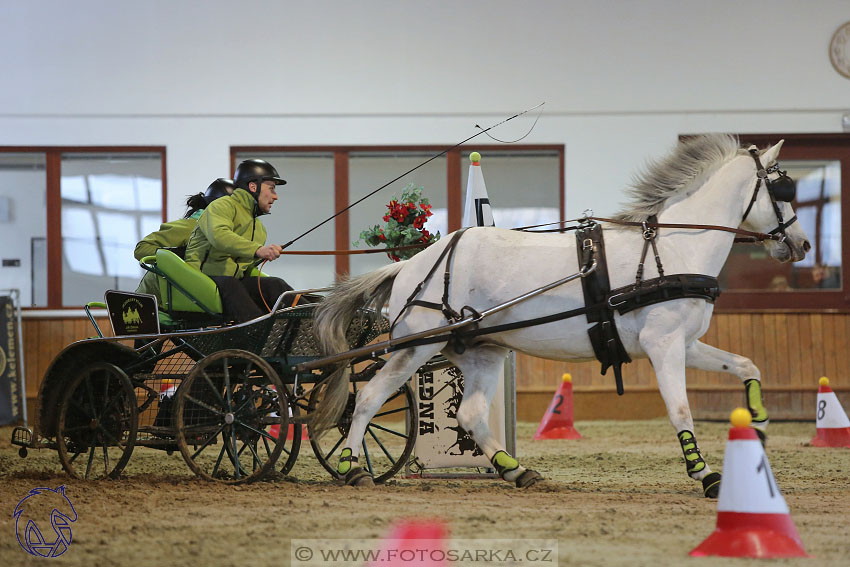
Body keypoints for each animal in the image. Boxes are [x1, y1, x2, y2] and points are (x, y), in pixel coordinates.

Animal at [310, 136, 808, 496]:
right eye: (782, 188)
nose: (802, 244)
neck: (671, 250)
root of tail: (410, 264)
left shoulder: (684, 342)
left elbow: (746, 365)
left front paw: (759, 426)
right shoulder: (663, 345)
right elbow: (681, 410)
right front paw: (706, 475)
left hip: (481, 351)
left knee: (471, 414)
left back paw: (515, 470)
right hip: (417, 345)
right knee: (369, 397)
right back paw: (351, 467)